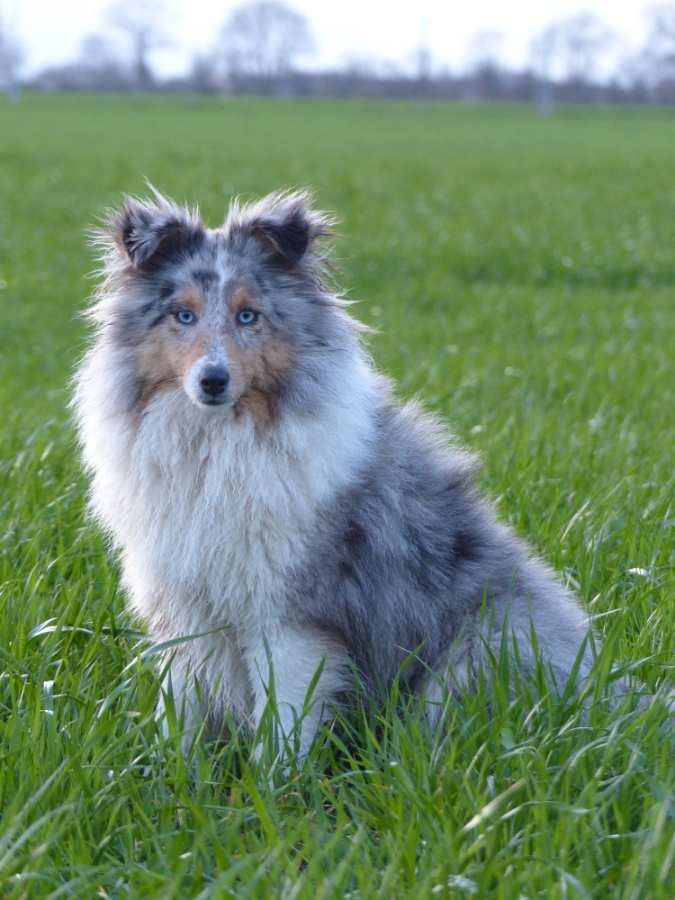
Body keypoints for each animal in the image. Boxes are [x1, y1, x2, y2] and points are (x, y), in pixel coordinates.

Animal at [75, 190, 604, 760]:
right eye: (183, 315)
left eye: (248, 315)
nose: (212, 381)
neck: (219, 440)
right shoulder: (187, 609)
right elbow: (180, 711)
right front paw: (168, 770)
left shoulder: (291, 619)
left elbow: (282, 721)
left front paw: (272, 781)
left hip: (485, 644)